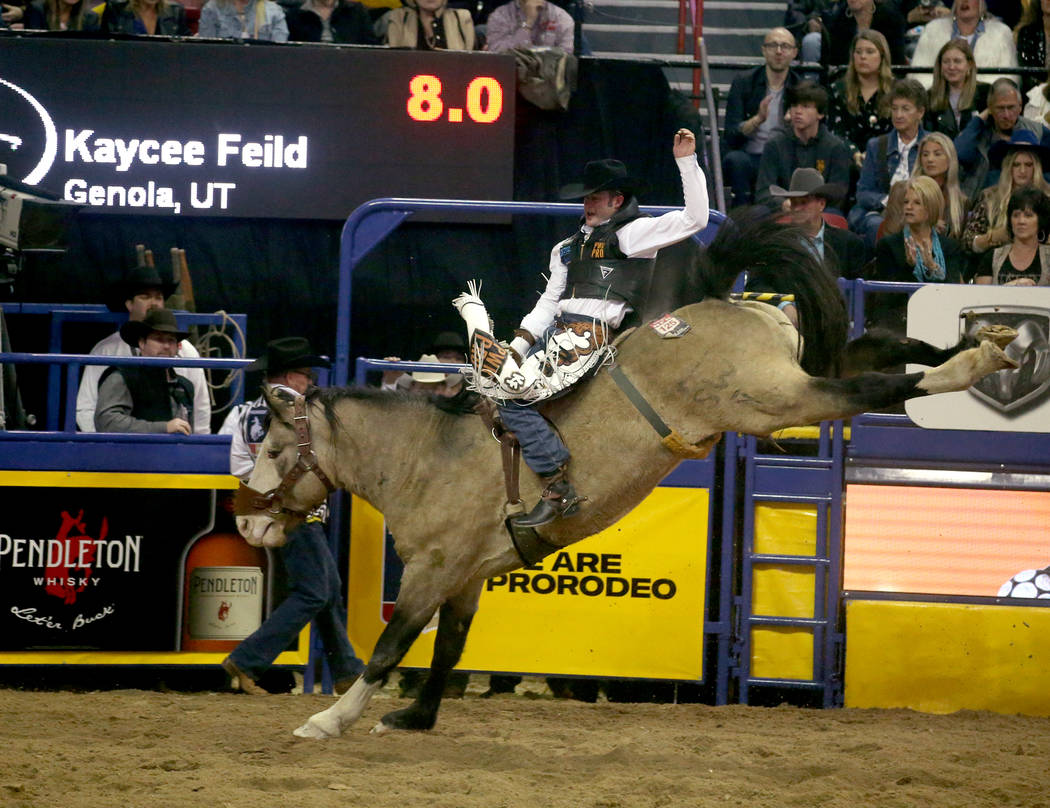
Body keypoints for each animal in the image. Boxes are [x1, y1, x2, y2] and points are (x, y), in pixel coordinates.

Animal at [234, 216, 1012, 738]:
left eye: (271, 445)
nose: (244, 518)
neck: (428, 454)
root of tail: (713, 304)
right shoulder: (468, 573)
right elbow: (451, 646)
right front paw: (415, 719)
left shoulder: (435, 566)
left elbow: (392, 644)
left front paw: (331, 719)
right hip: (793, 372)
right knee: (874, 348)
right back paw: (983, 345)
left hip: (774, 398)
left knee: (872, 384)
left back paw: (972, 363)